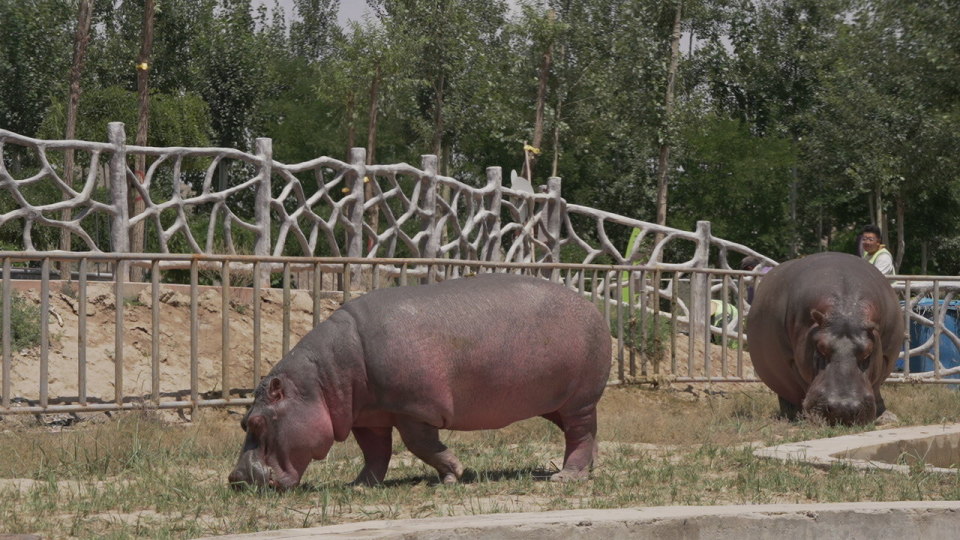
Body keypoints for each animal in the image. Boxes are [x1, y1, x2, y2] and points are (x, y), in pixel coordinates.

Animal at [229, 274, 612, 490]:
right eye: (242, 422)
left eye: (257, 422)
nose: (235, 479)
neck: (321, 381)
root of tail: (591, 305)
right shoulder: (369, 416)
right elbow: (374, 452)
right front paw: (359, 486)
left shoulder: (413, 409)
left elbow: (421, 446)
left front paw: (453, 476)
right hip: (556, 403)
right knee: (584, 435)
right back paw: (587, 468)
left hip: (579, 399)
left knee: (580, 433)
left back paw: (565, 477)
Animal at [752, 253, 904, 426]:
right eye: (820, 348)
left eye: (867, 352)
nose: (843, 409)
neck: (846, 310)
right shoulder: (792, 360)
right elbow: (801, 383)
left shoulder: (885, 358)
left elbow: (877, 385)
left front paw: (886, 417)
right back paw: (791, 414)